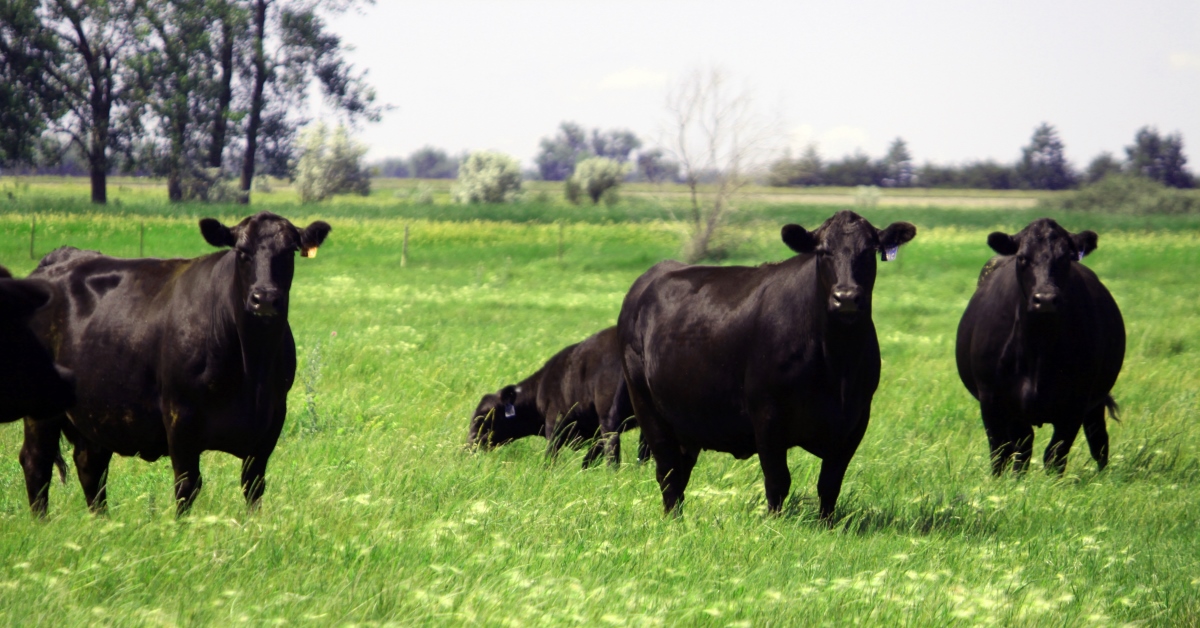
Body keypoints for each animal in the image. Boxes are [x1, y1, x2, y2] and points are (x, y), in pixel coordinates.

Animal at [22, 211, 333, 516]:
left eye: (289, 252)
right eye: (242, 251)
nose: (265, 298)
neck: (252, 366)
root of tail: (62, 256)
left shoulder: (271, 420)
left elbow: (253, 485)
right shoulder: (180, 415)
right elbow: (188, 485)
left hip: (95, 410)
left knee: (90, 465)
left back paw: (101, 521)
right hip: (42, 406)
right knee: (36, 462)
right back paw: (42, 523)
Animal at [470, 329, 652, 465]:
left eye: (483, 417)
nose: (469, 446)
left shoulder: (555, 426)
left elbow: (550, 459)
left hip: (609, 418)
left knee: (613, 455)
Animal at [619, 211, 916, 521]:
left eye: (869, 251)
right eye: (823, 251)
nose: (845, 297)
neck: (836, 364)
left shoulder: (855, 419)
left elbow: (830, 484)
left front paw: (826, 524)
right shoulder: (767, 415)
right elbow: (778, 480)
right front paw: (775, 523)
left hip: (687, 419)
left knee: (680, 471)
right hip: (646, 405)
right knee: (667, 471)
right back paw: (672, 519)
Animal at [955, 218, 1123, 475]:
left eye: (1065, 258)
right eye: (1023, 257)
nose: (1045, 299)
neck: (1038, 347)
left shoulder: (1075, 403)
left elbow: (1055, 454)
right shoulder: (994, 399)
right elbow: (1008, 450)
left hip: (1095, 402)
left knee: (1098, 441)